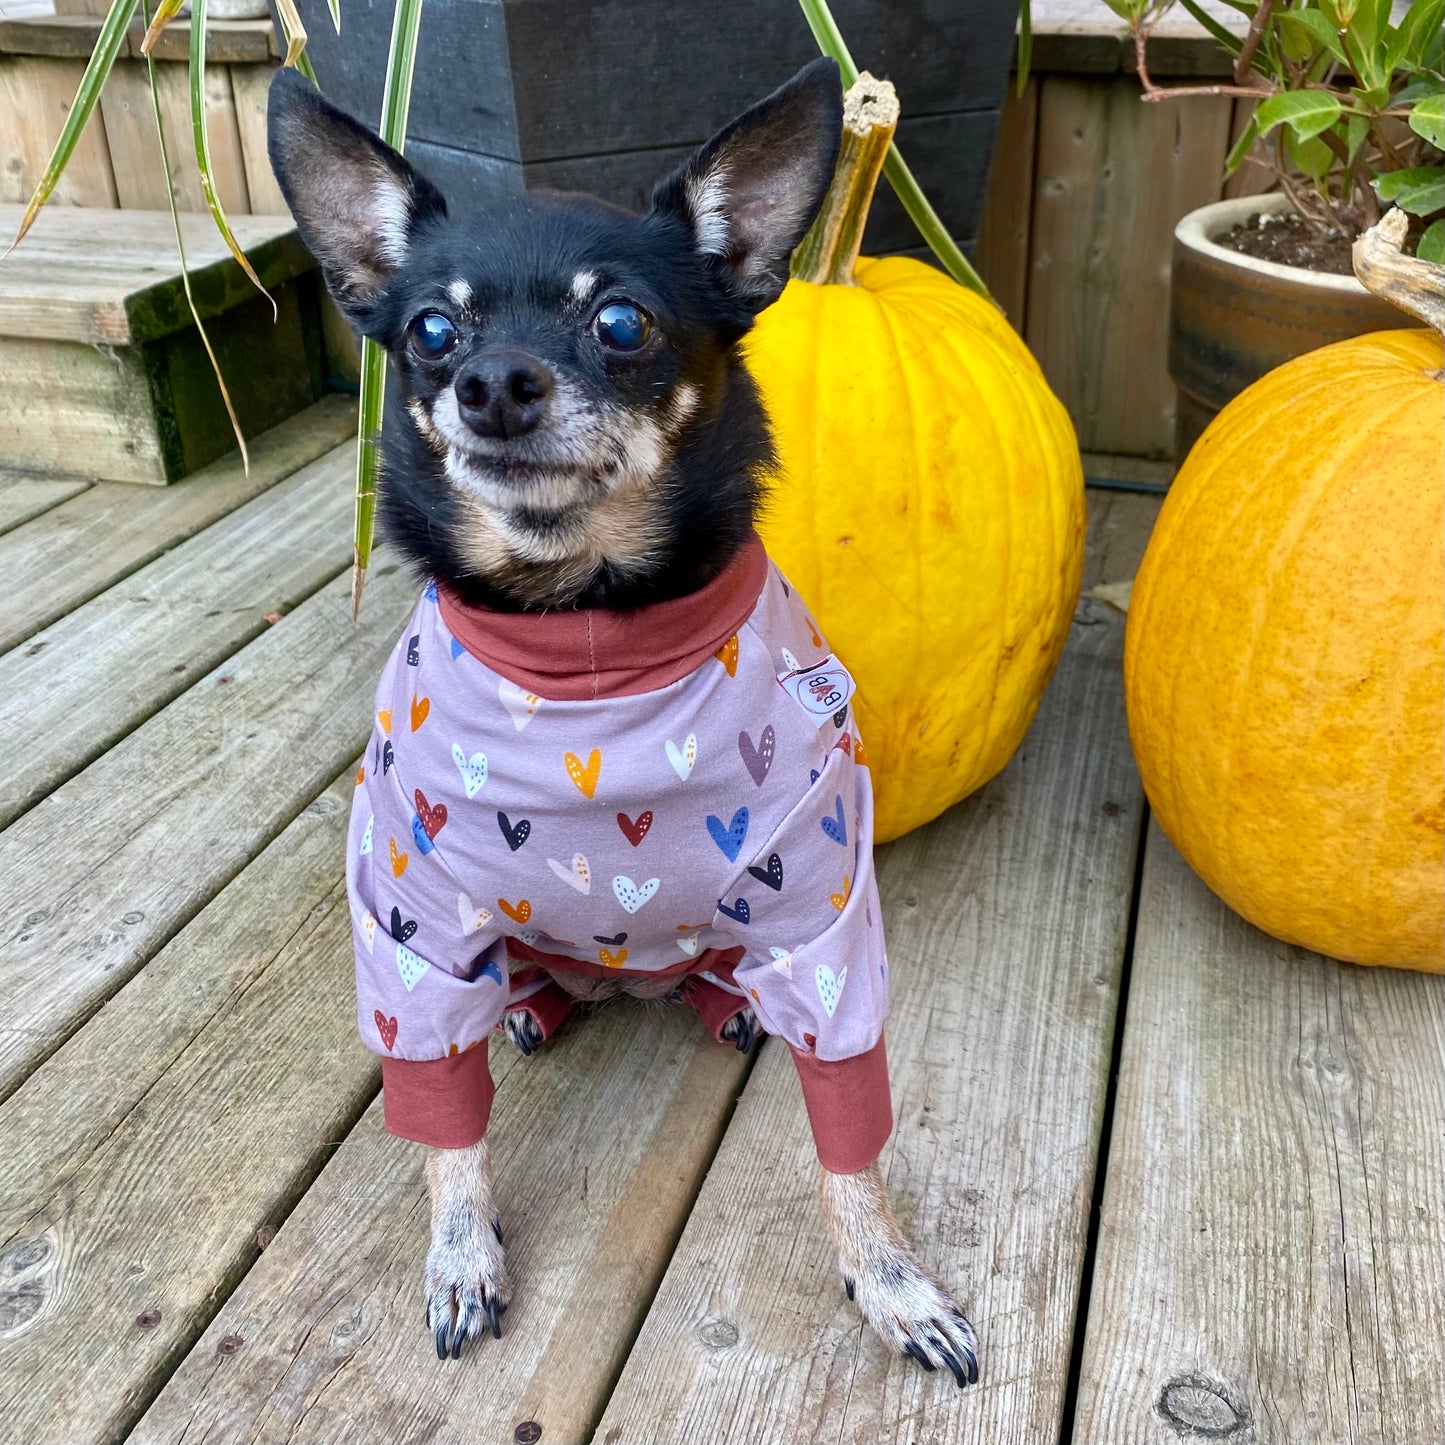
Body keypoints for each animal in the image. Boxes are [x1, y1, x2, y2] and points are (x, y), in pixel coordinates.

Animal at [265, 59, 976, 1387]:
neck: (588, 644)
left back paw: (721, 997)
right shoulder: (408, 924)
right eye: (431, 333)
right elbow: (444, 1128)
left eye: (620, 323)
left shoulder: (820, 914)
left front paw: (889, 1275)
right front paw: (459, 1252)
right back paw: (533, 1003)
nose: (494, 382)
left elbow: (848, 1134)